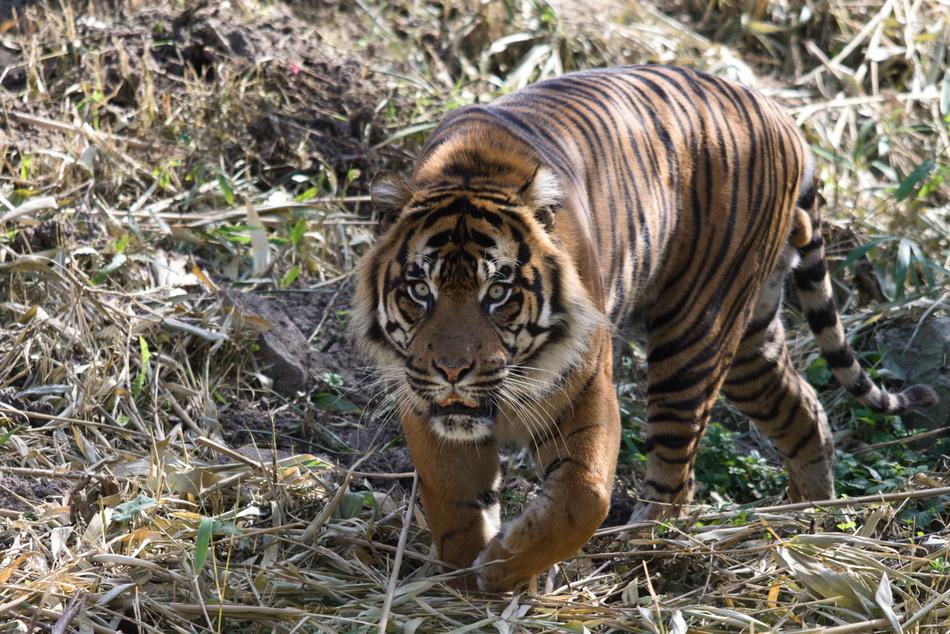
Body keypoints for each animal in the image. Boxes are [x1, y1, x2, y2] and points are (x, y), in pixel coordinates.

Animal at [350, 65, 937, 593]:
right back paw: (809, 526)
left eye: (497, 292)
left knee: (679, 476)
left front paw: (502, 567)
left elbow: (584, 496)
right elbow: (454, 501)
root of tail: (785, 121)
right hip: (753, 339)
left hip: (695, 335)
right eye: (419, 290)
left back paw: (640, 552)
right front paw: (465, 580)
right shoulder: (424, 401)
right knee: (805, 412)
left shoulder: (586, 390)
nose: (453, 370)